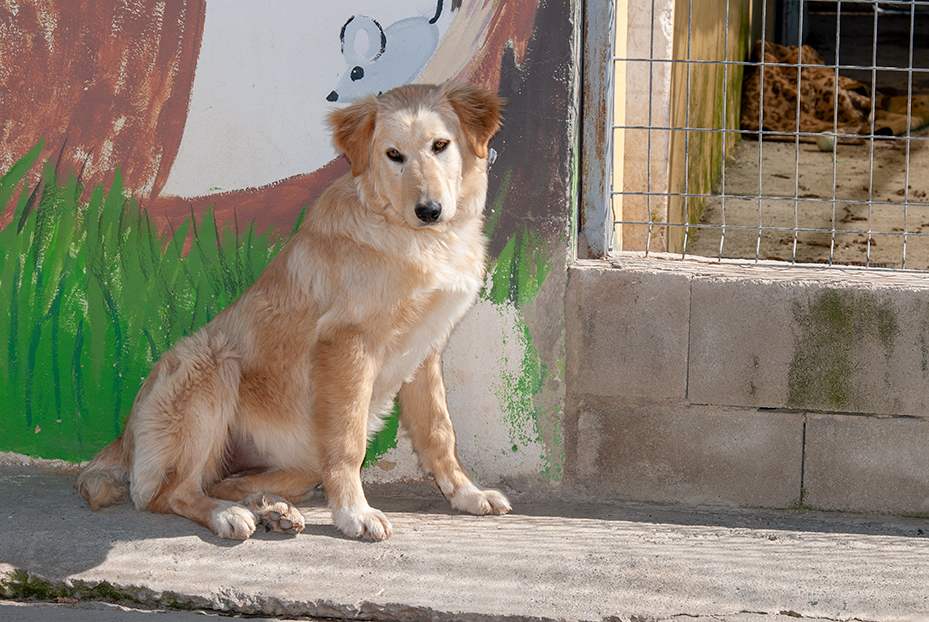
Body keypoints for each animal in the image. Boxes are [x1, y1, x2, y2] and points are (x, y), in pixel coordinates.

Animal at [75, 82, 511, 540]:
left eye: (440, 145)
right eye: (394, 154)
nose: (429, 211)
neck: (414, 238)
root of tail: (123, 438)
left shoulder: (425, 350)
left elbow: (439, 432)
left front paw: (466, 494)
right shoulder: (345, 346)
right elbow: (349, 444)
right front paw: (354, 513)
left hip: (297, 464)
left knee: (222, 481)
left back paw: (271, 509)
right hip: (210, 362)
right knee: (169, 493)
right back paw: (229, 514)